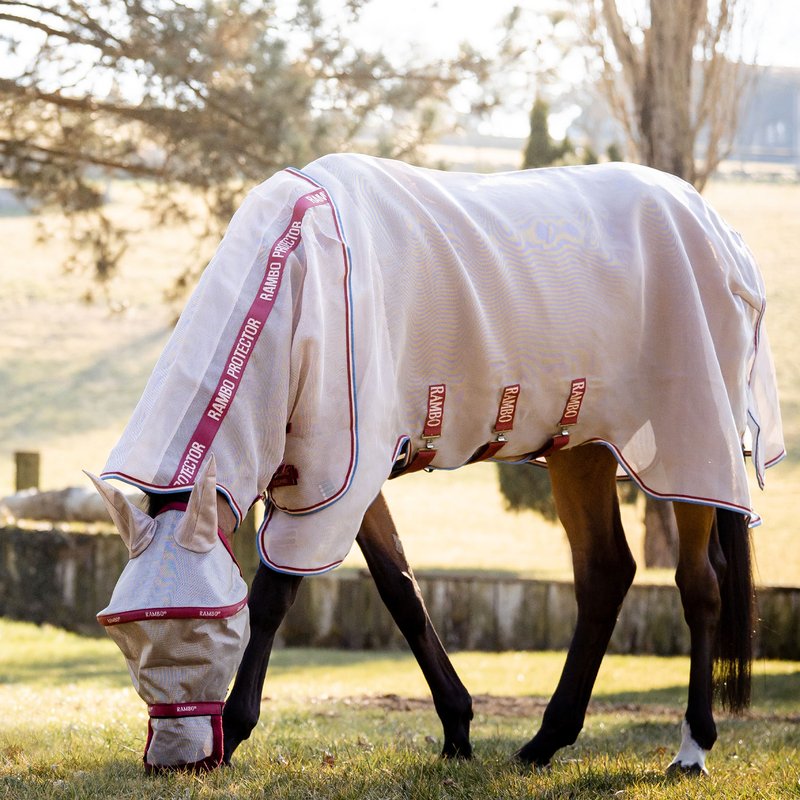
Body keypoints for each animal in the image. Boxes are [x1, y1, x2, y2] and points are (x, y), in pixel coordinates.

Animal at [89, 152, 780, 776]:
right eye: (124, 636)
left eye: (206, 632)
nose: (171, 763)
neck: (298, 278)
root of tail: (721, 233)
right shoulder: (344, 480)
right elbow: (402, 590)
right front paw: (457, 730)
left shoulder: (333, 480)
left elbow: (274, 595)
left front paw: (234, 731)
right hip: (580, 449)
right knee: (606, 573)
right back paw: (544, 742)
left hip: (692, 446)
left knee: (700, 585)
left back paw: (691, 749)